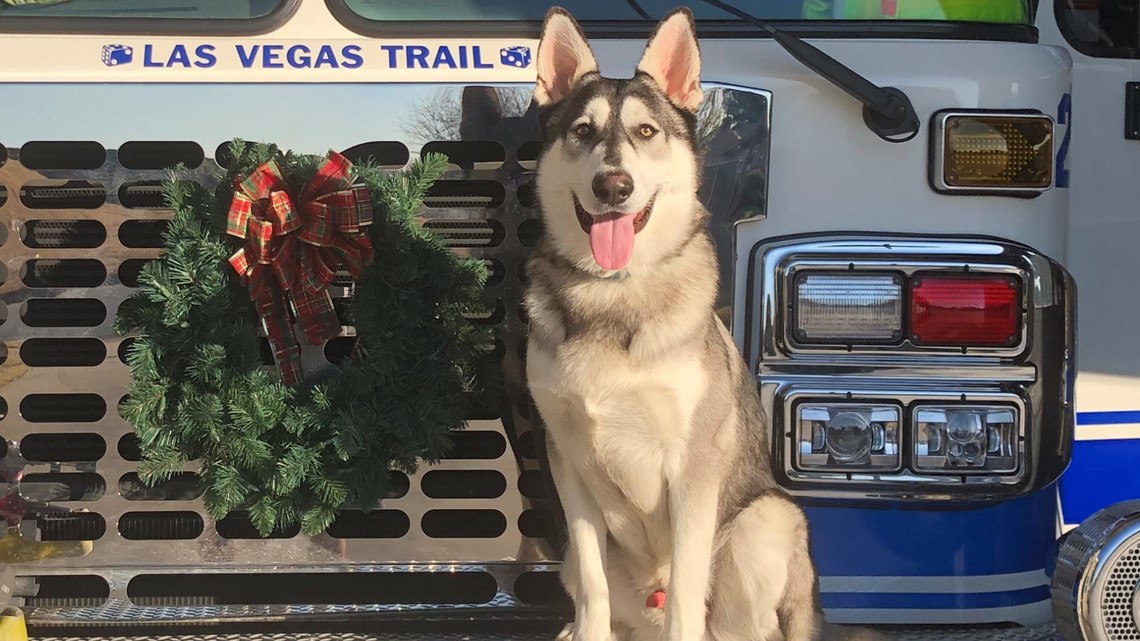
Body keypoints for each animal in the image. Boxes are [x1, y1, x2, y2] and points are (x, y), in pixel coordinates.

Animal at [522, 7, 884, 638]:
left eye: (646, 133)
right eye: (583, 132)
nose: (612, 186)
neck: (612, 290)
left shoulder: (692, 467)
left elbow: (688, 592)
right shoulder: (568, 462)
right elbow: (592, 584)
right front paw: (586, 628)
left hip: (766, 521)